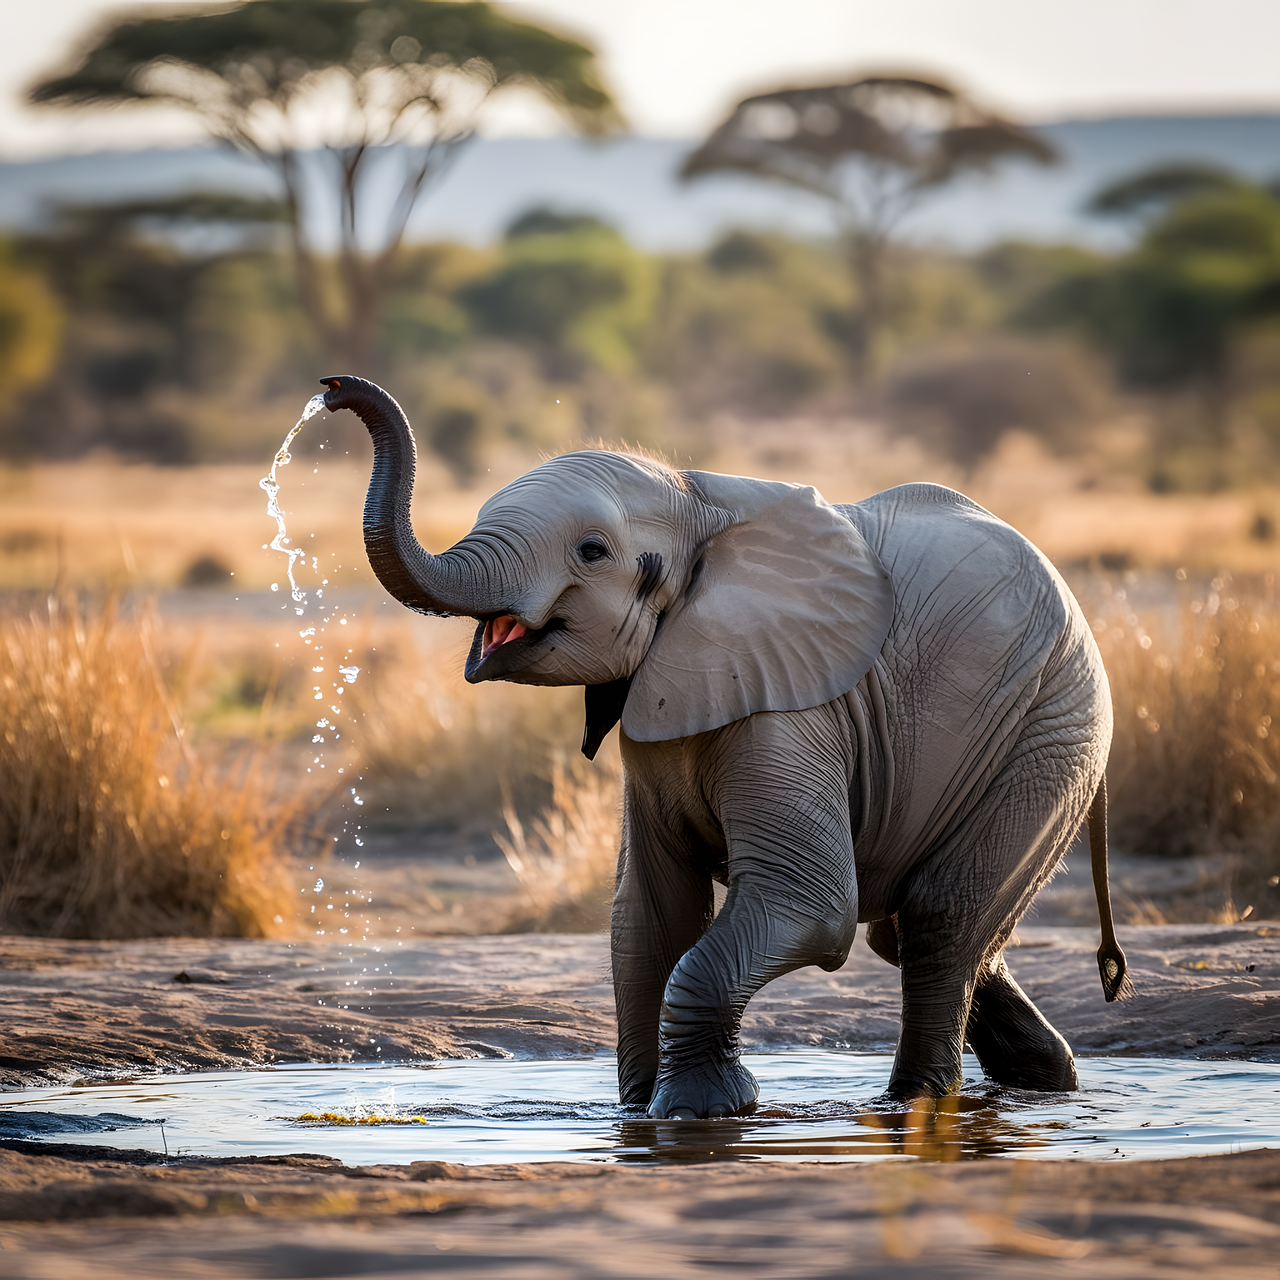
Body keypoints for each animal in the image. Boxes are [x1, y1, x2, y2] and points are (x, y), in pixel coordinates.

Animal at [321, 374, 1130, 1119]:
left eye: (592, 551)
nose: (332, 391)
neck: (698, 503)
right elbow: (649, 920)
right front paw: (636, 1115)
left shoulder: (789, 709)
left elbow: (807, 905)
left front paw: (701, 1111)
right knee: (917, 931)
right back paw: (1044, 1083)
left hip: (1050, 733)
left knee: (939, 920)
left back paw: (917, 1104)